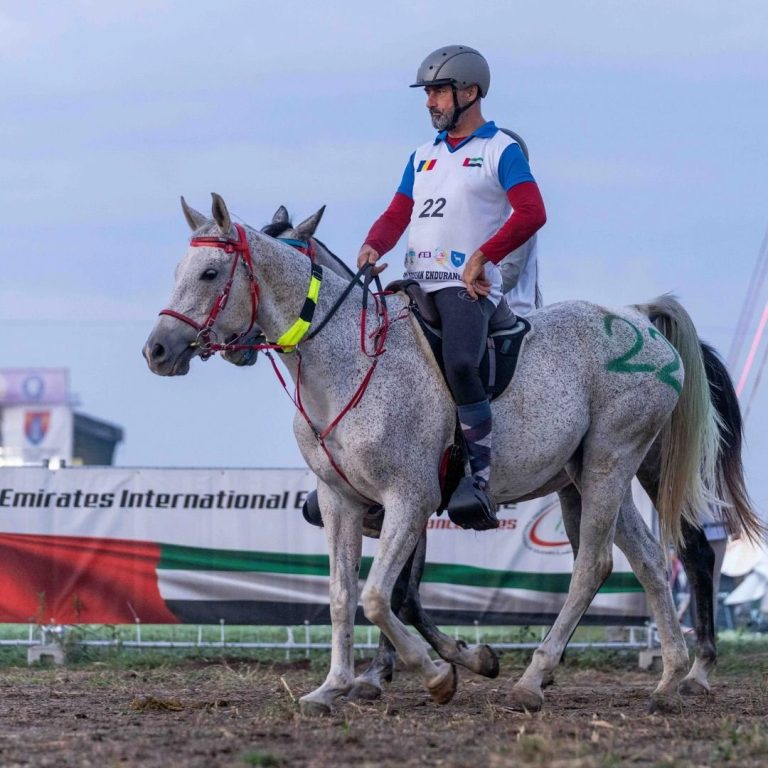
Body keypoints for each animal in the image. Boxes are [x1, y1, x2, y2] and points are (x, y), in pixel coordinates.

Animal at [147, 195, 724, 716]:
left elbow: (380, 595)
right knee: (648, 560)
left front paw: (437, 673)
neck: (347, 362)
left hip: (611, 462)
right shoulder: (339, 502)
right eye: (177, 270)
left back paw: (537, 680)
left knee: (598, 564)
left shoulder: (410, 500)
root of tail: (639, 320)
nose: (156, 350)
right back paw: (670, 679)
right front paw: (334, 686)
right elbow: (343, 594)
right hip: (590, 475)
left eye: (210, 273)